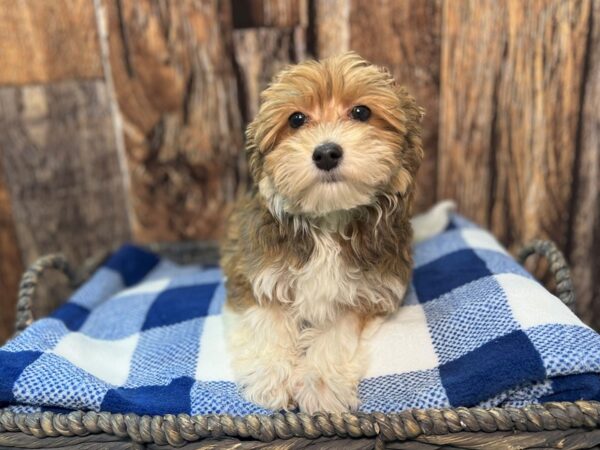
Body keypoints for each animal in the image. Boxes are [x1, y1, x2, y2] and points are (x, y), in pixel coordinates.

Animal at [220, 51, 426, 414]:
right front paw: (271, 374)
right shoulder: (253, 268)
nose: (326, 152)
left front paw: (321, 382)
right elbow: (267, 317)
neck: (328, 220)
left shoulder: (368, 290)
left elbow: (337, 328)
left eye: (361, 112)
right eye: (296, 119)